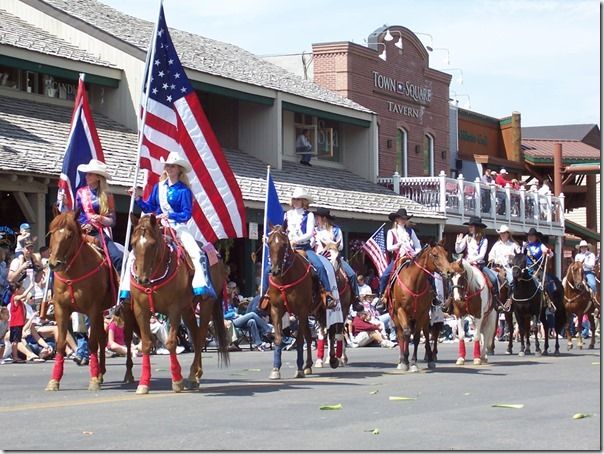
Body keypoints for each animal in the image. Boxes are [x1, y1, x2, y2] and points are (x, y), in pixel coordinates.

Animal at [45, 211, 117, 392]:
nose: (54, 264)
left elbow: (92, 343)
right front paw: (54, 381)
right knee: (102, 337)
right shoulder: (61, 309)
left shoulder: (93, 308)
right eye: (52, 233)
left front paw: (93, 380)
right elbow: (61, 344)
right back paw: (100, 373)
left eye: (70, 235)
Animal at [121, 214, 229, 394]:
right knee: (195, 335)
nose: (141, 279)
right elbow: (146, 344)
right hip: (188, 309)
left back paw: (192, 376)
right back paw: (196, 375)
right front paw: (143, 383)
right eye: (133, 243)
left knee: (200, 336)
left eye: (153, 244)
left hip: (206, 304)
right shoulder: (140, 310)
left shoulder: (174, 309)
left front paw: (177, 380)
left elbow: (171, 342)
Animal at [266, 225, 330, 378]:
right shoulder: (276, 310)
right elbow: (278, 338)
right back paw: (308, 365)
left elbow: (300, 340)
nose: (275, 271)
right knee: (310, 336)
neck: (285, 278)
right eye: (269, 243)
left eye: (284, 244)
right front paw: (275, 369)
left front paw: (299, 368)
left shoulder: (301, 310)